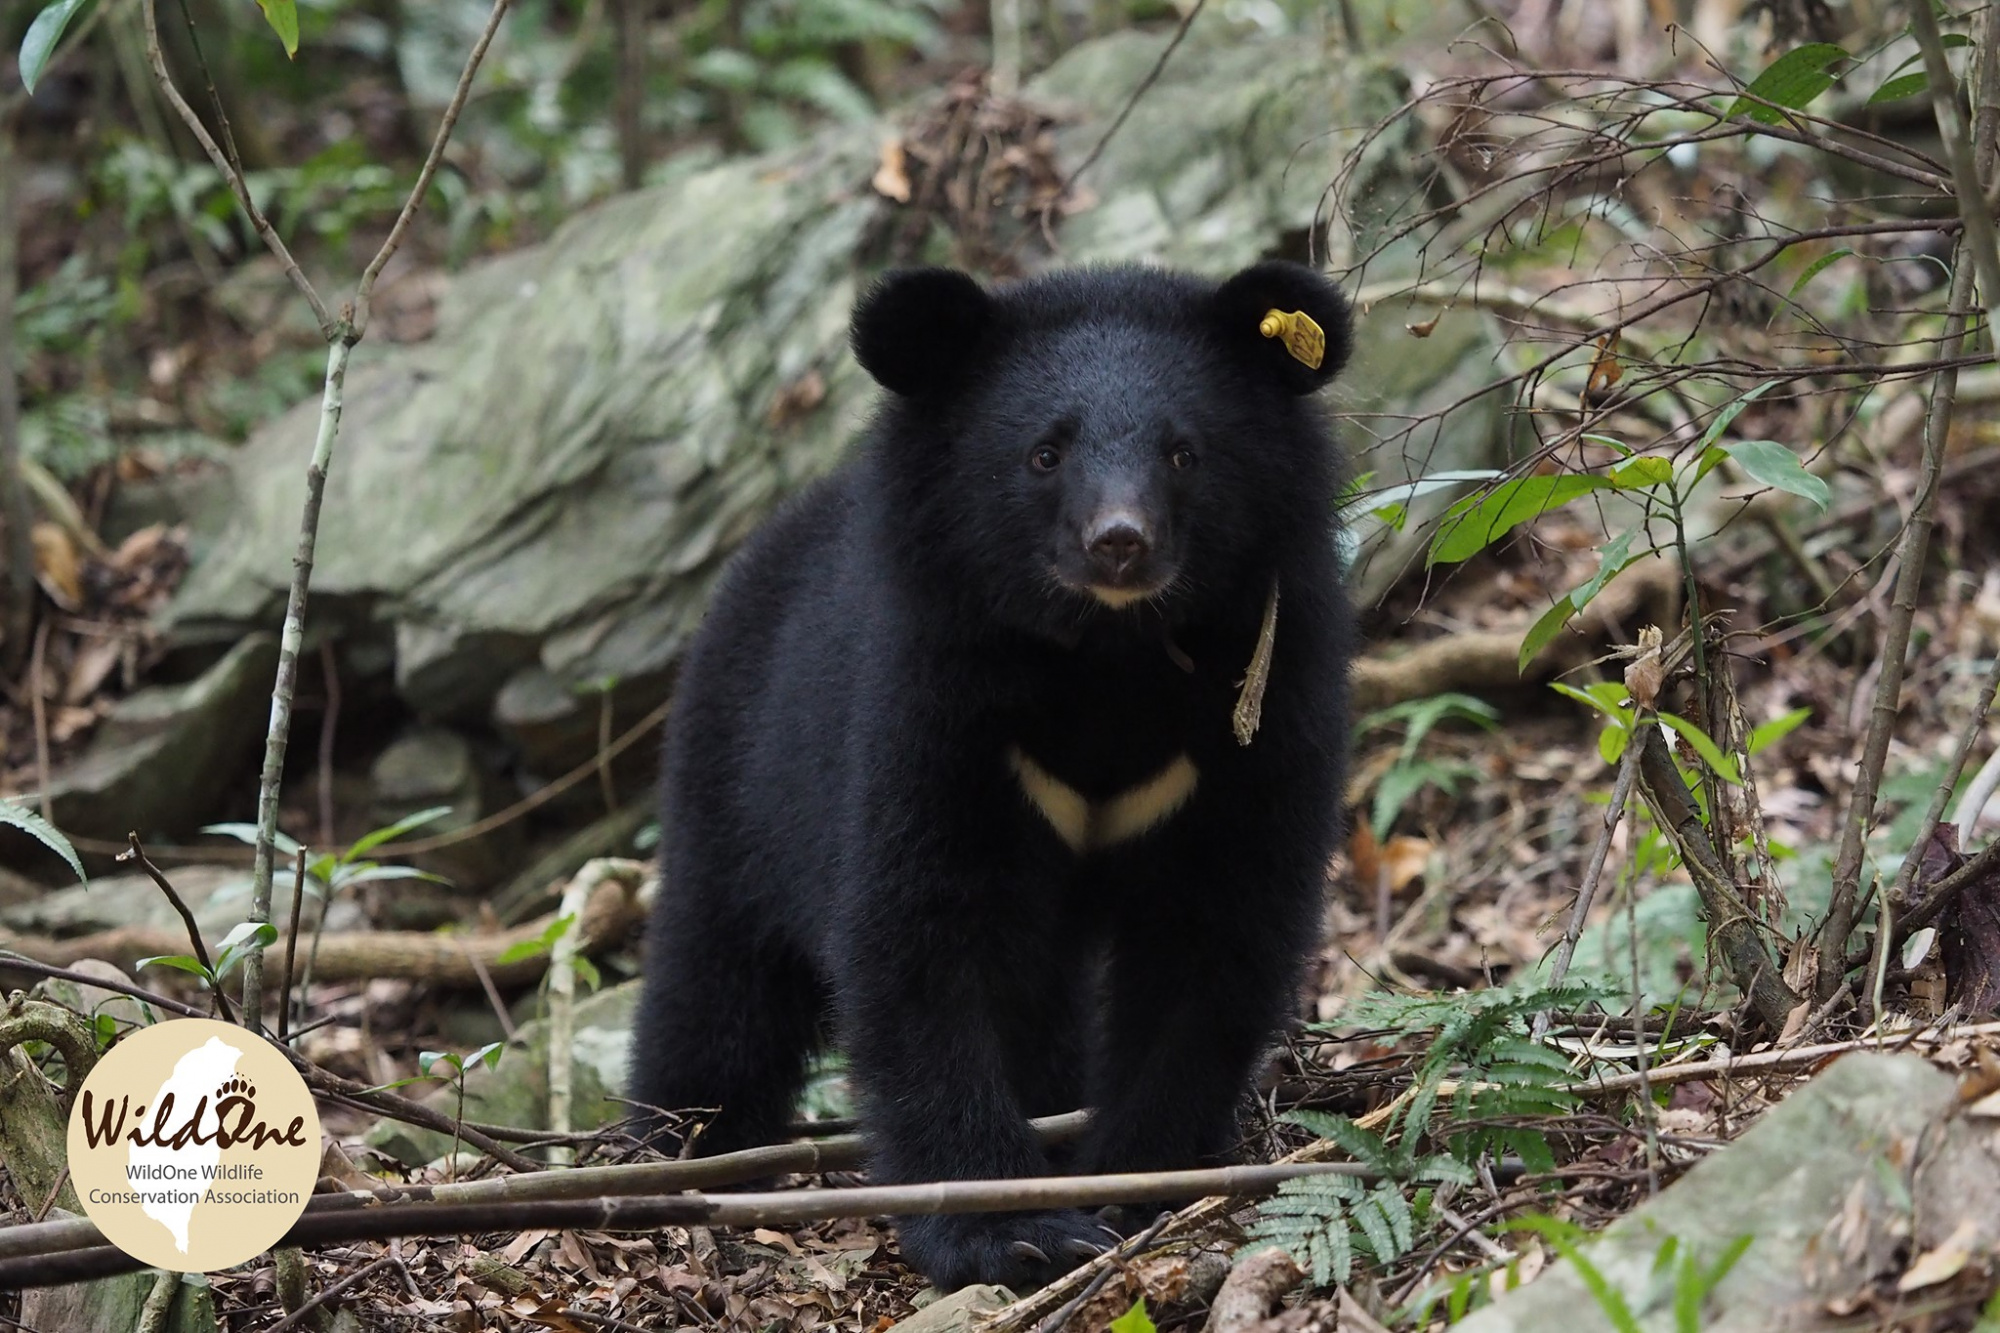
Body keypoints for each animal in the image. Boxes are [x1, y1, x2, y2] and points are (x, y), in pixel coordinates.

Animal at [636, 254, 1360, 1280]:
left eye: (1185, 453)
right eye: (1044, 453)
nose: (1119, 542)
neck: (1105, 658)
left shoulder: (1257, 712)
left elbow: (1215, 933)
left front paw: (1135, 1178)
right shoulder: (936, 707)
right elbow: (924, 937)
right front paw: (1010, 1227)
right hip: (738, 779)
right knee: (716, 989)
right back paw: (680, 1148)